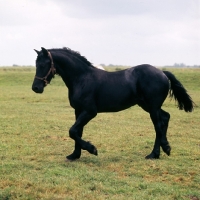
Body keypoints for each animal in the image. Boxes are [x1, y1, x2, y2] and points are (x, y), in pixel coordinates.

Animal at [31, 47, 194, 161]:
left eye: (45, 64)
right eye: (36, 64)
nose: (36, 88)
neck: (82, 78)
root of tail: (162, 72)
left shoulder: (89, 112)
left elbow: (72, 131)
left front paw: (92, 149)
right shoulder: (78, 111)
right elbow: (77, 131)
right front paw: (74, 155)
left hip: (152, 107)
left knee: (158, 126)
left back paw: (156, 153)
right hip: (148, 106)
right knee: (165, 118)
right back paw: (163, 150)